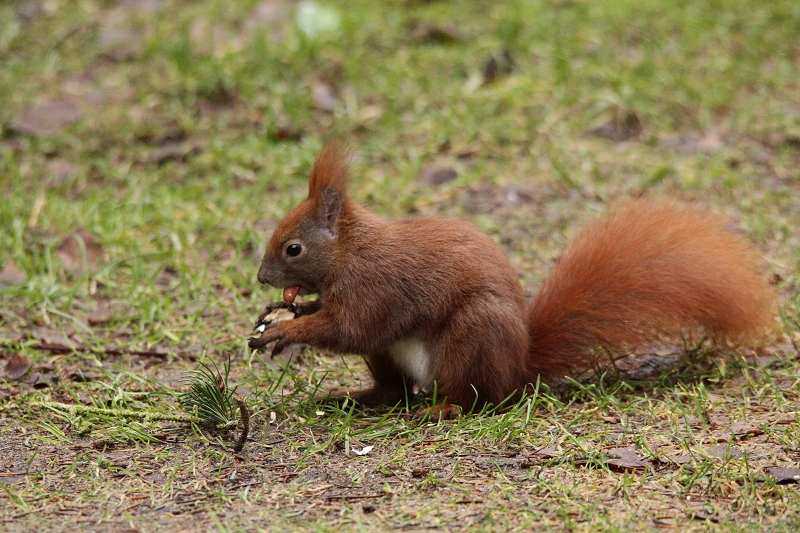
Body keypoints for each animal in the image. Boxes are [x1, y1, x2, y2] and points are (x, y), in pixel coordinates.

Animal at [252, 141, 776, 416]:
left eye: (293, 248)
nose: (261, 277)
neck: (348, 253)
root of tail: (518, 367)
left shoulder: (374, 287)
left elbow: (349, 329)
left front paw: (283, 331)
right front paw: (286, 312)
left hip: (473, 337)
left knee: (473, 398)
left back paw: (443, 408)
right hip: (393, 356)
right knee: (395, 390)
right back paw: (358, 397)